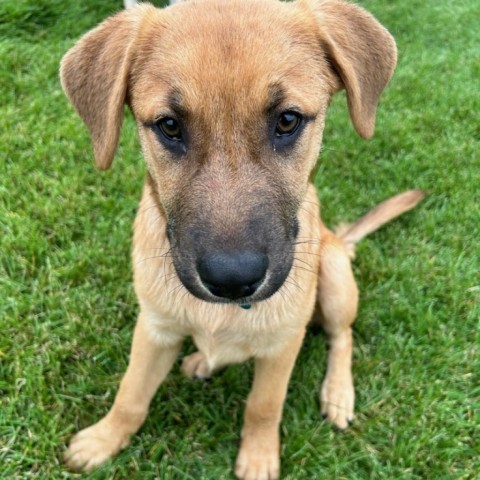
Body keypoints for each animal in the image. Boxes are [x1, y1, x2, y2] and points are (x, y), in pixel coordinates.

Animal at [60, 1, 424, 478]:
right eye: (169, 126)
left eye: (287, 120)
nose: (233, 280)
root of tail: (340, 240)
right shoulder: (155, 327)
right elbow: (131, 394)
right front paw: (104, 438)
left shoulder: (283, 344)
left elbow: (263, 406)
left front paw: (258, 456)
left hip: (334, 276)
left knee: (341, 336)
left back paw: (338, 393)